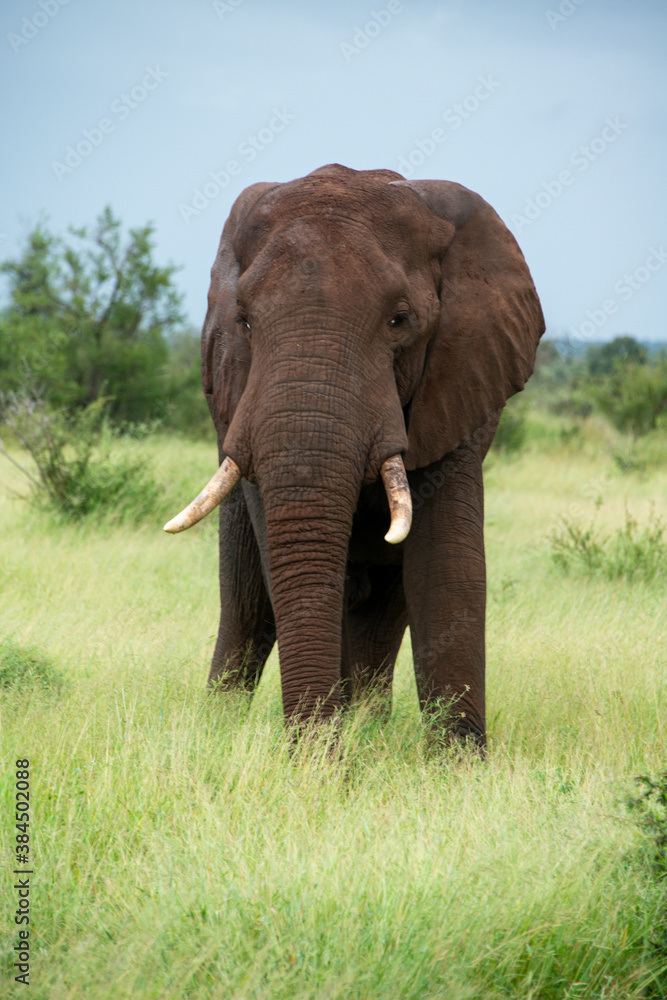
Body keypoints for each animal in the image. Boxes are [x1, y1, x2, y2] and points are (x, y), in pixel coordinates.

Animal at [164, 162, 544, 744]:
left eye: (400, 320)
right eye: (244, 322)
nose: (315, 753)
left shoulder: (463, 377)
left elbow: (445, 566)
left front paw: (457, 761)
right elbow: (302, 573)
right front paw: (330, 752)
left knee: (382, 608)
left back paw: (369, 726)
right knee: (248, 604)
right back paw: (226, 725)